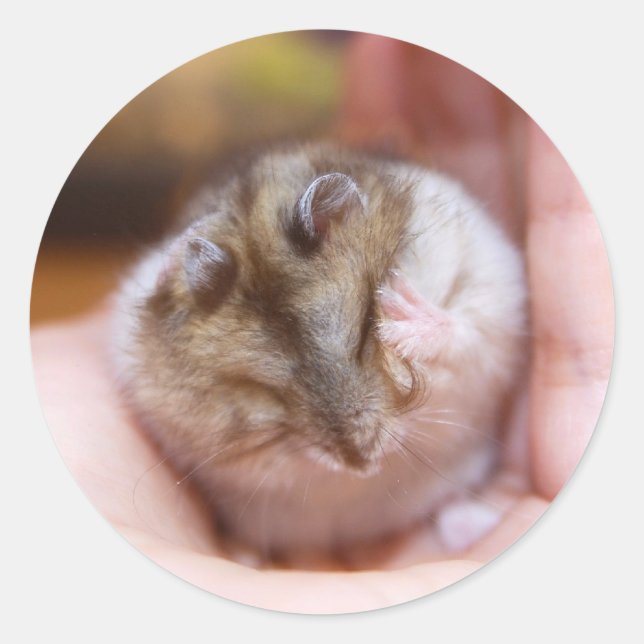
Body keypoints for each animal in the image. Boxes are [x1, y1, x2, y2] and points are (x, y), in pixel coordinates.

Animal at [114, 142, 527, 565]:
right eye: (264, 389)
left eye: (365, 330)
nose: (363, 466)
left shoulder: (487, 293)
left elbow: (463, 335)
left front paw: (401, 315)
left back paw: (471, 526)